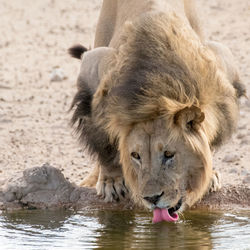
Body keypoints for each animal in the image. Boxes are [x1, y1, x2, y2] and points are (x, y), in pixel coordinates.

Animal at [68, 0, 244, 223]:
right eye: (136, 155)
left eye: (169, 154)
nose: (152, 198)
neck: (157, 98)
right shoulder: (93, 70)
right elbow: (103, 144)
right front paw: (111, 181)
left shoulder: (222, 74)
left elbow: (208, 142)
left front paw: (209, 174)